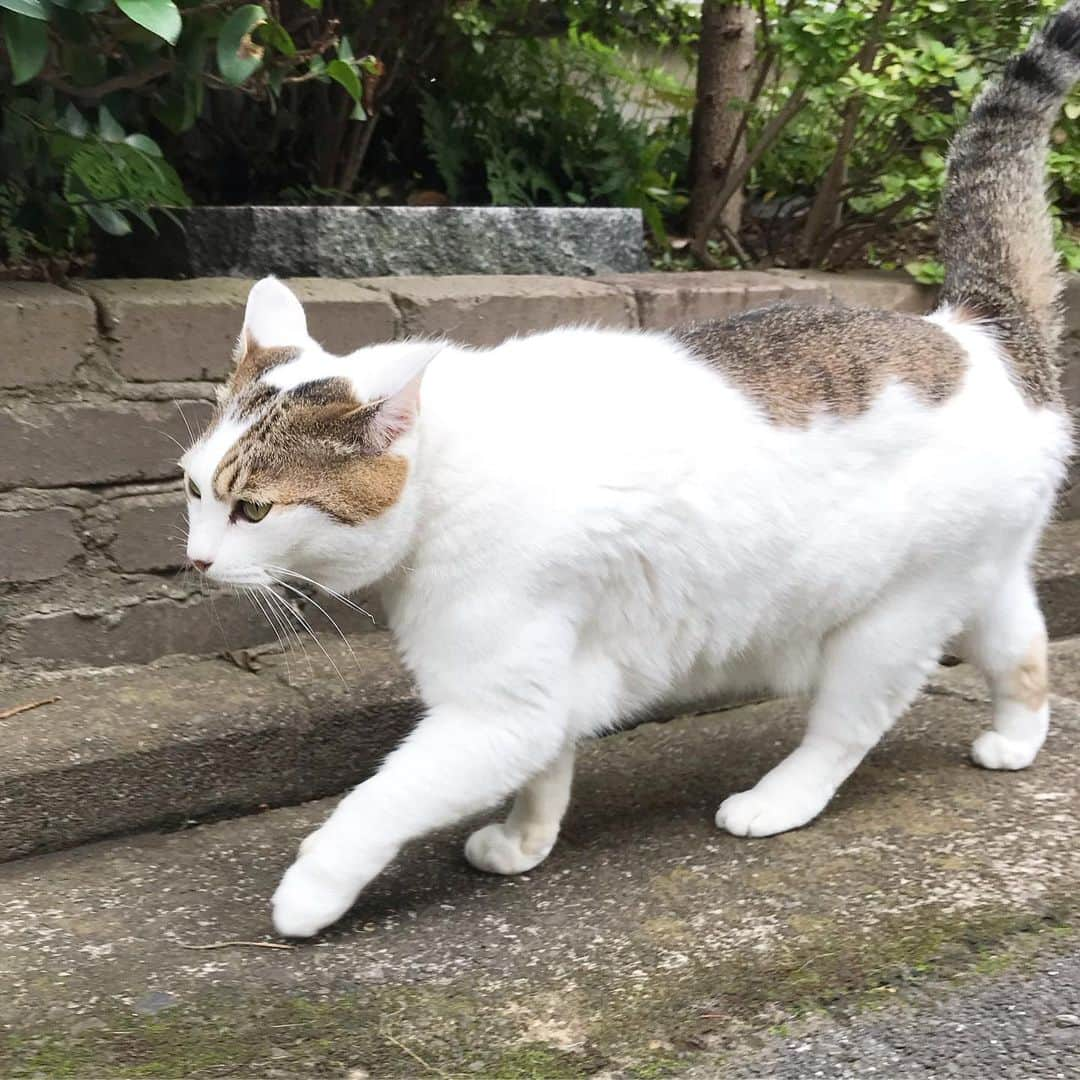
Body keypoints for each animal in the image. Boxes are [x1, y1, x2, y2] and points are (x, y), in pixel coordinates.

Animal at [181, 8, 1075, 937]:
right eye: (194, 490)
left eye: (253, 510)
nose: (196, 560)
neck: (448, 483)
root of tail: (973, 332)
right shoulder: (545, 686)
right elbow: (545, 773)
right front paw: (524, 842)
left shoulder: (499, 706)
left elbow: (379, 801)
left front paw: (310, 893)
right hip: (975, 574)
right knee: (1022, 646)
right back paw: (1016, 738)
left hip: (888, 620)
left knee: (849, 725)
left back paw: (777, 800)